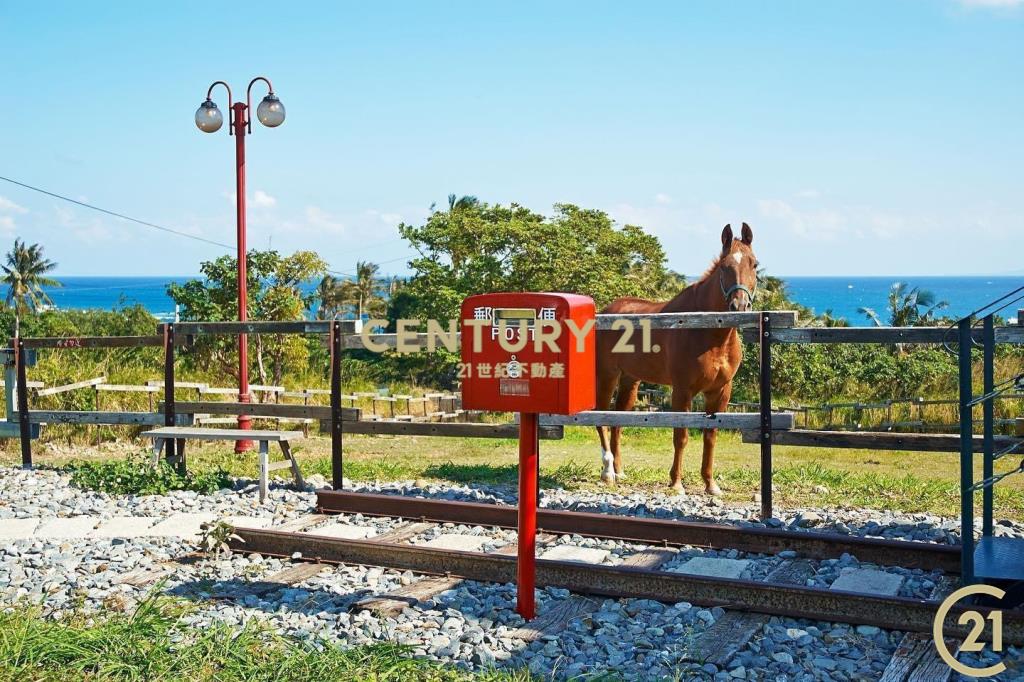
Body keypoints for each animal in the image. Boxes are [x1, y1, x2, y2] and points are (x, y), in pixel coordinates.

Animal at [593, 223, 761, 493]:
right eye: (725, 266)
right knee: (602, 419)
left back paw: (620, 472)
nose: (740, 306)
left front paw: (710, 484)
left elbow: (710, 436)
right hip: (607, 376)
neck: (709, 332)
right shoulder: (683, 390)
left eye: (754, 264)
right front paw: (677, 483)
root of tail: (606, 312)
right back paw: (608, 472)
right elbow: (680, 436)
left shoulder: (720, 391)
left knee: (618, 421)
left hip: (630, 380)